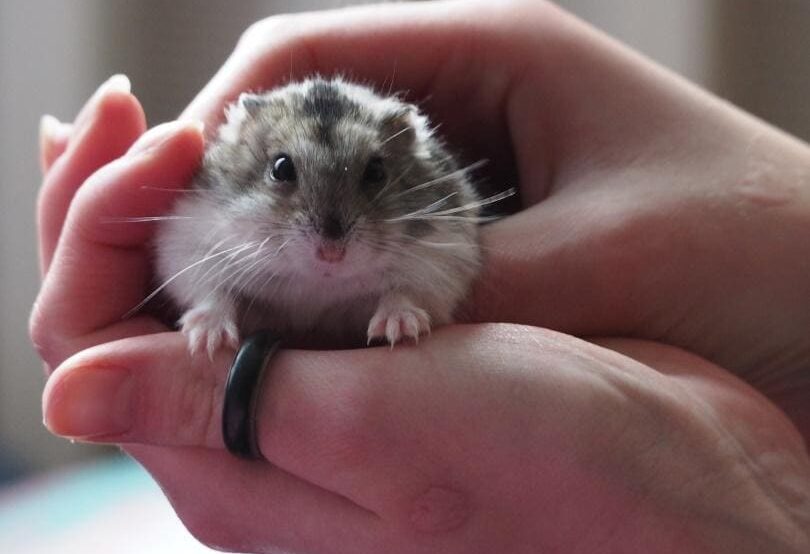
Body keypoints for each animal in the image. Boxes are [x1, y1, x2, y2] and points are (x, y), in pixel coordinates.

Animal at [153, 77, 486, 355]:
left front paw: (401, 329)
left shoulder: (444, 262)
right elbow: (212, 292)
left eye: (376, 172)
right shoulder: (188, 247)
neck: (317, 284)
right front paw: (209, 342)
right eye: (281, 168)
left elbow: (405, 291)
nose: (331, 254)